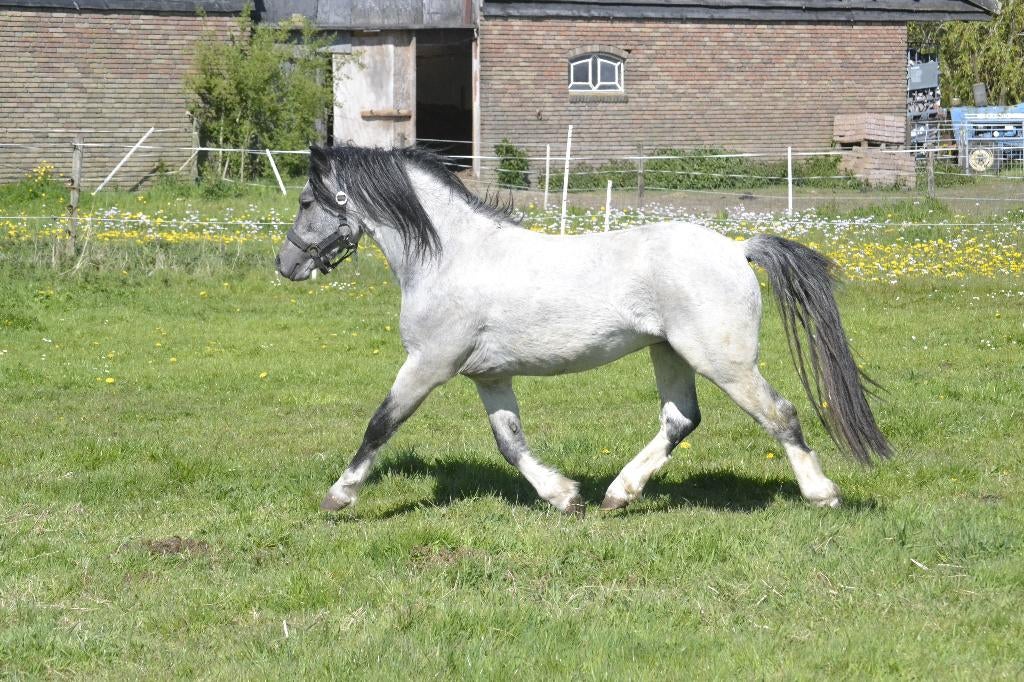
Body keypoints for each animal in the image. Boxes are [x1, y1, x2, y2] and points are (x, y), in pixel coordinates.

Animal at [275, 145, 891, 516]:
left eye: (306, 201)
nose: (285, 265)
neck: (451, 256)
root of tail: (738, 249)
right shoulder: (488, 376)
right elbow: (510, 443)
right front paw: (563, 495)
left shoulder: (428, 363)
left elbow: (380, 424)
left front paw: (338, 495)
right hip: (669, 353)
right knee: (680, 420)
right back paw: (618, 494)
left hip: (725, 361)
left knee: (779, 414)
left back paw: (822, 493)